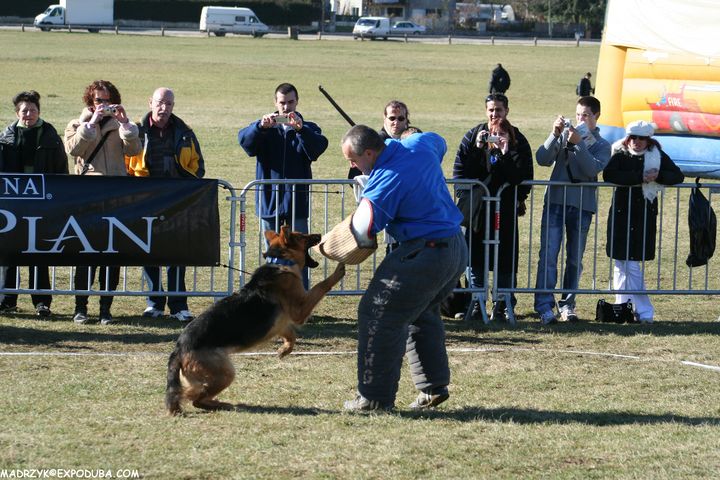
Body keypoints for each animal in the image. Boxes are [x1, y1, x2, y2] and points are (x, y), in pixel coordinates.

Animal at [165, 227, 344, 414]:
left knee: (193, 394)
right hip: (225, 373)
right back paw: (222, 404)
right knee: (193, 397)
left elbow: (291, 336)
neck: (281, 261)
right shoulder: (299, 311)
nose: (319, 235)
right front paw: (339, 270)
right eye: (302, 236)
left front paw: (284, 351)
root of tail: (179, 348)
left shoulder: (280, 324)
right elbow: (322, 285)